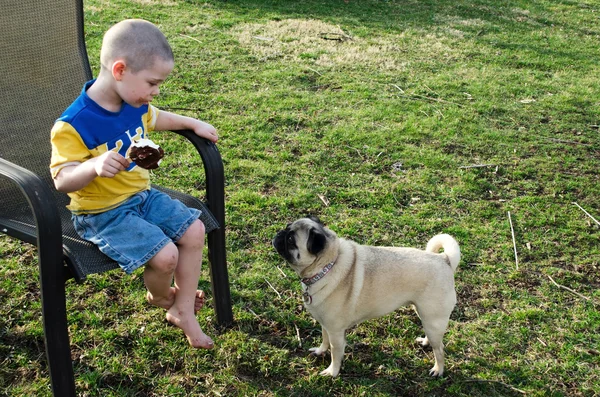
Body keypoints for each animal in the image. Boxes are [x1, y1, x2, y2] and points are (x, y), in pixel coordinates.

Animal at [272, 215, 460, 376]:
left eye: (291, 240)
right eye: (287, 228)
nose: (279, 234)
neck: (328, 265)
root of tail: (444, 259)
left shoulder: (335, 331)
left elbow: (335, 352)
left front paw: (332, 372)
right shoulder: (325, 323)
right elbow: (324, 339)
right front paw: (320, 351)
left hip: (433, 318)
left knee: (440, 349)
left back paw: (438, 369)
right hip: (425, 315)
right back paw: (426, 342)